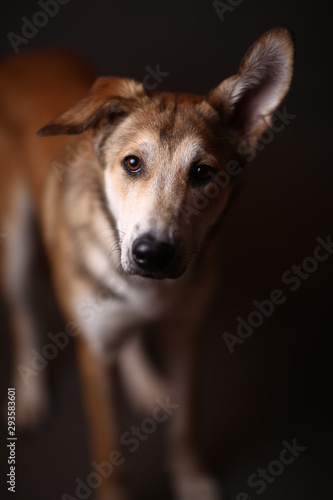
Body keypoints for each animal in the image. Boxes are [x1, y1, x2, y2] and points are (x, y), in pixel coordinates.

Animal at [0, 28, 292, 500]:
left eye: (203, 172)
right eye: (132, 163)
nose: (152, 253)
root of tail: (31, 57)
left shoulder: (188, 333)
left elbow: (187, 424)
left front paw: (191, 481)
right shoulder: (94, 354)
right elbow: (108, 452)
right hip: (16, 246)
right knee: (23, 313)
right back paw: (28, 396)